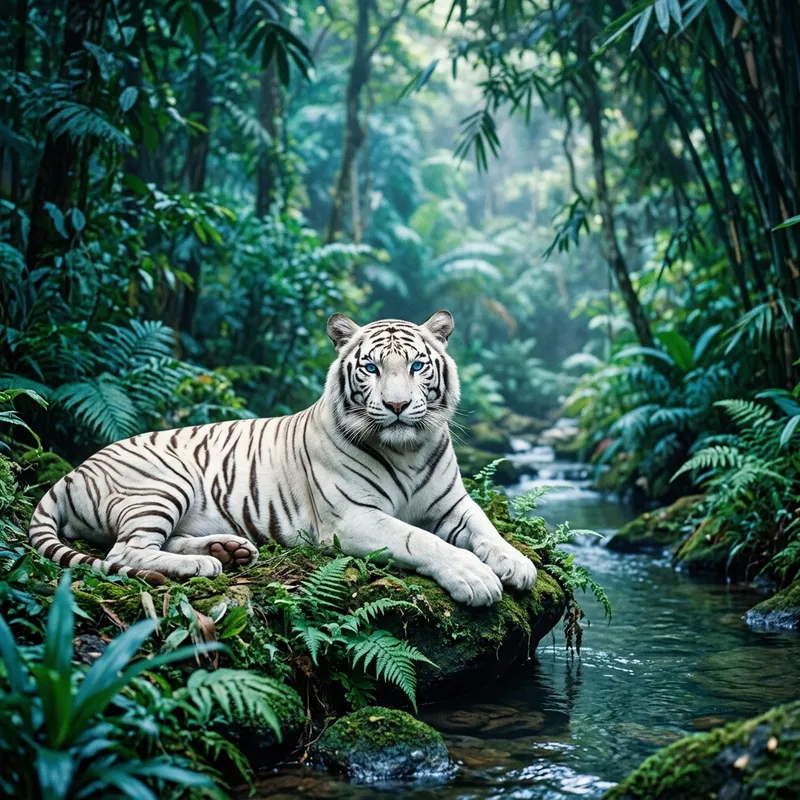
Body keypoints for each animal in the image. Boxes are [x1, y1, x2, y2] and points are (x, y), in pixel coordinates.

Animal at [28, 310, 536, 607]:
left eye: (416, 366)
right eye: (371, 368)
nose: (396, 405)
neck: (407, 449)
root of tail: (72, 471)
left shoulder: (453, 503)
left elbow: (486, 529)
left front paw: (517, 565)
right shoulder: (354, 518)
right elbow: (420, 540)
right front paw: (475, 577)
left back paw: (226, 549)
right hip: (163, 484)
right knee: (126, 550)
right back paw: (202, 565)